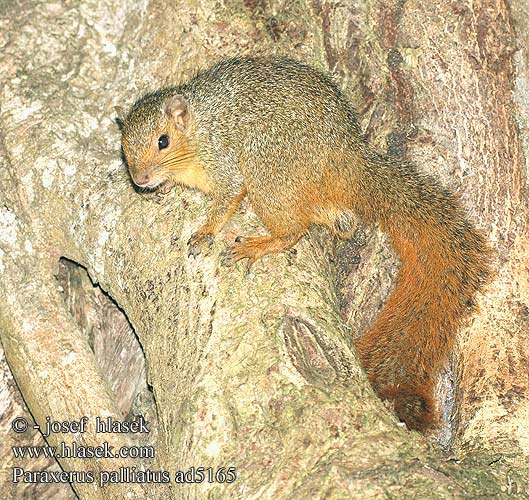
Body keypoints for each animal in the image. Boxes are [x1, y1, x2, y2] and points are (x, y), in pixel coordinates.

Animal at [116, 56, 490, 432]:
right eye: (124, 148)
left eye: (163, 141)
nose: (140, 179)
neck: (198, 133)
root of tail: (349, 162)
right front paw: (163, 189)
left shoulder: (222, 161)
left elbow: (227, 197)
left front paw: (205, 231)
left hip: (268, 169)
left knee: (294, 231)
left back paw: (259, 245)